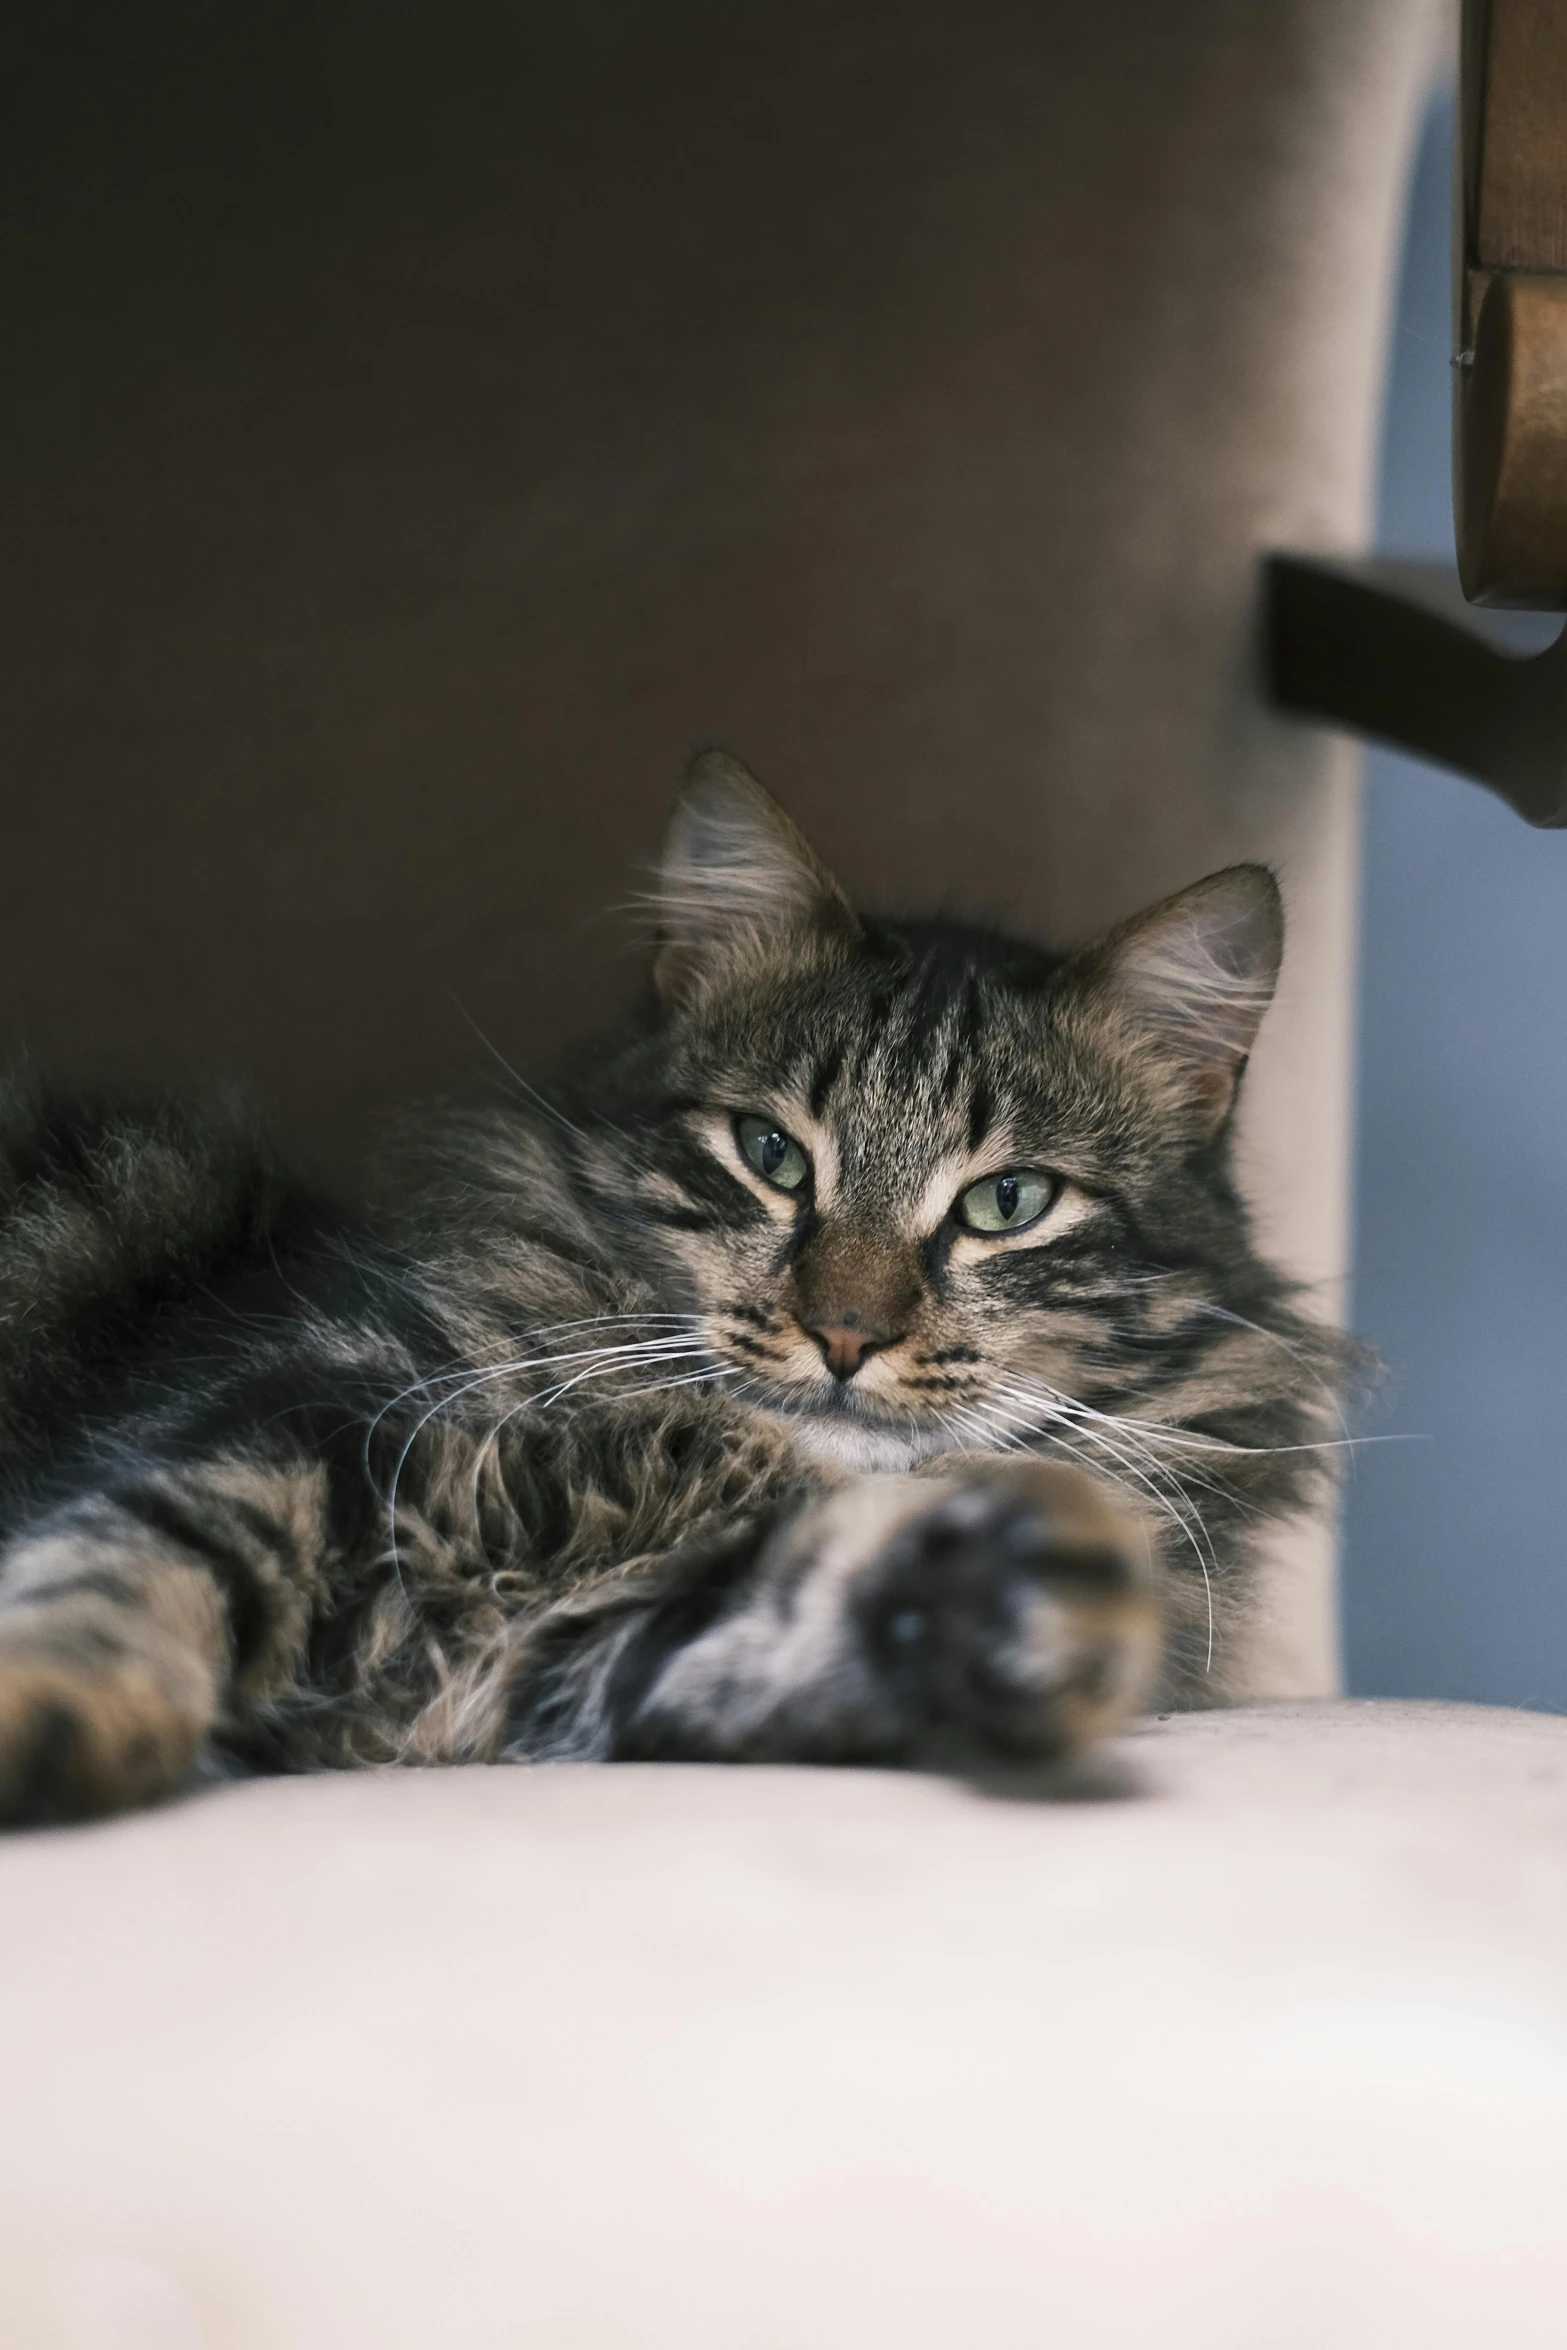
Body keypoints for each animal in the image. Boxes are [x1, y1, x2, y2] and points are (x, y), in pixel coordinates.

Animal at [0, 752, 1353, 1814]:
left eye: (1005, 1203)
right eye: (769, 1155)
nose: (844, 1334)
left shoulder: (606, 1647)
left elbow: (810, 1610)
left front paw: (1017, 1595)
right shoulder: (294, 1410)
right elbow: (134, 1558)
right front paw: (49, 1707)